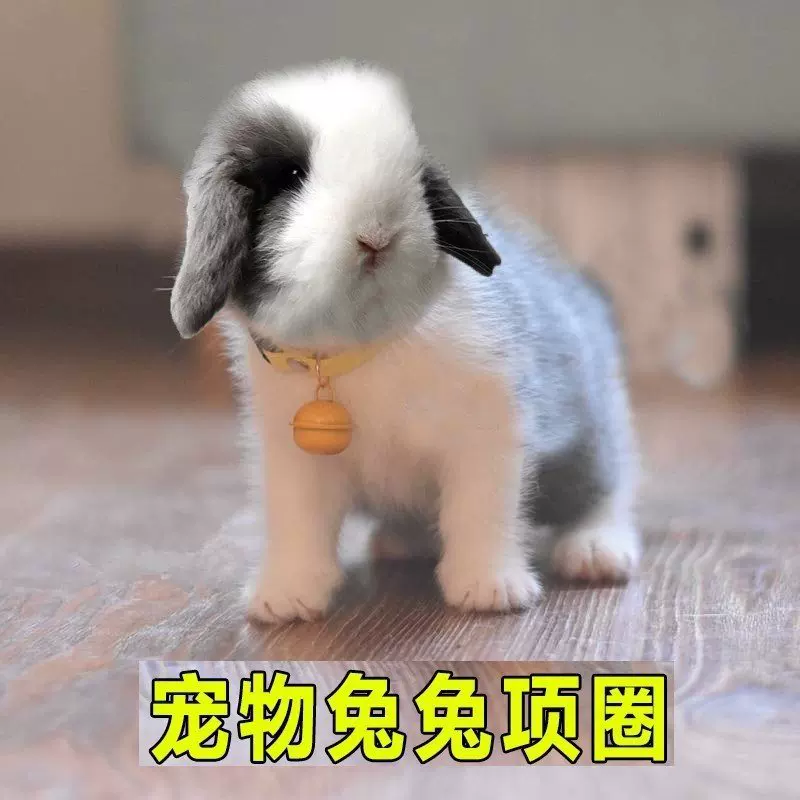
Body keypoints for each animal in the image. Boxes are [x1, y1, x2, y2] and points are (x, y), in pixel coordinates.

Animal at [170, 61, 640, 624]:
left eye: (413, 171)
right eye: (292, 177)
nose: (378, 235)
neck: (361, 344)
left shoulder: (488, 436)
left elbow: (480, 511)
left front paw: (489, 590)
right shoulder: (292, 462)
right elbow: (298, 525)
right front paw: (286, 599)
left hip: (588, 437)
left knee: (605, 489)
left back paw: (597, 553)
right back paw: (399, 543)